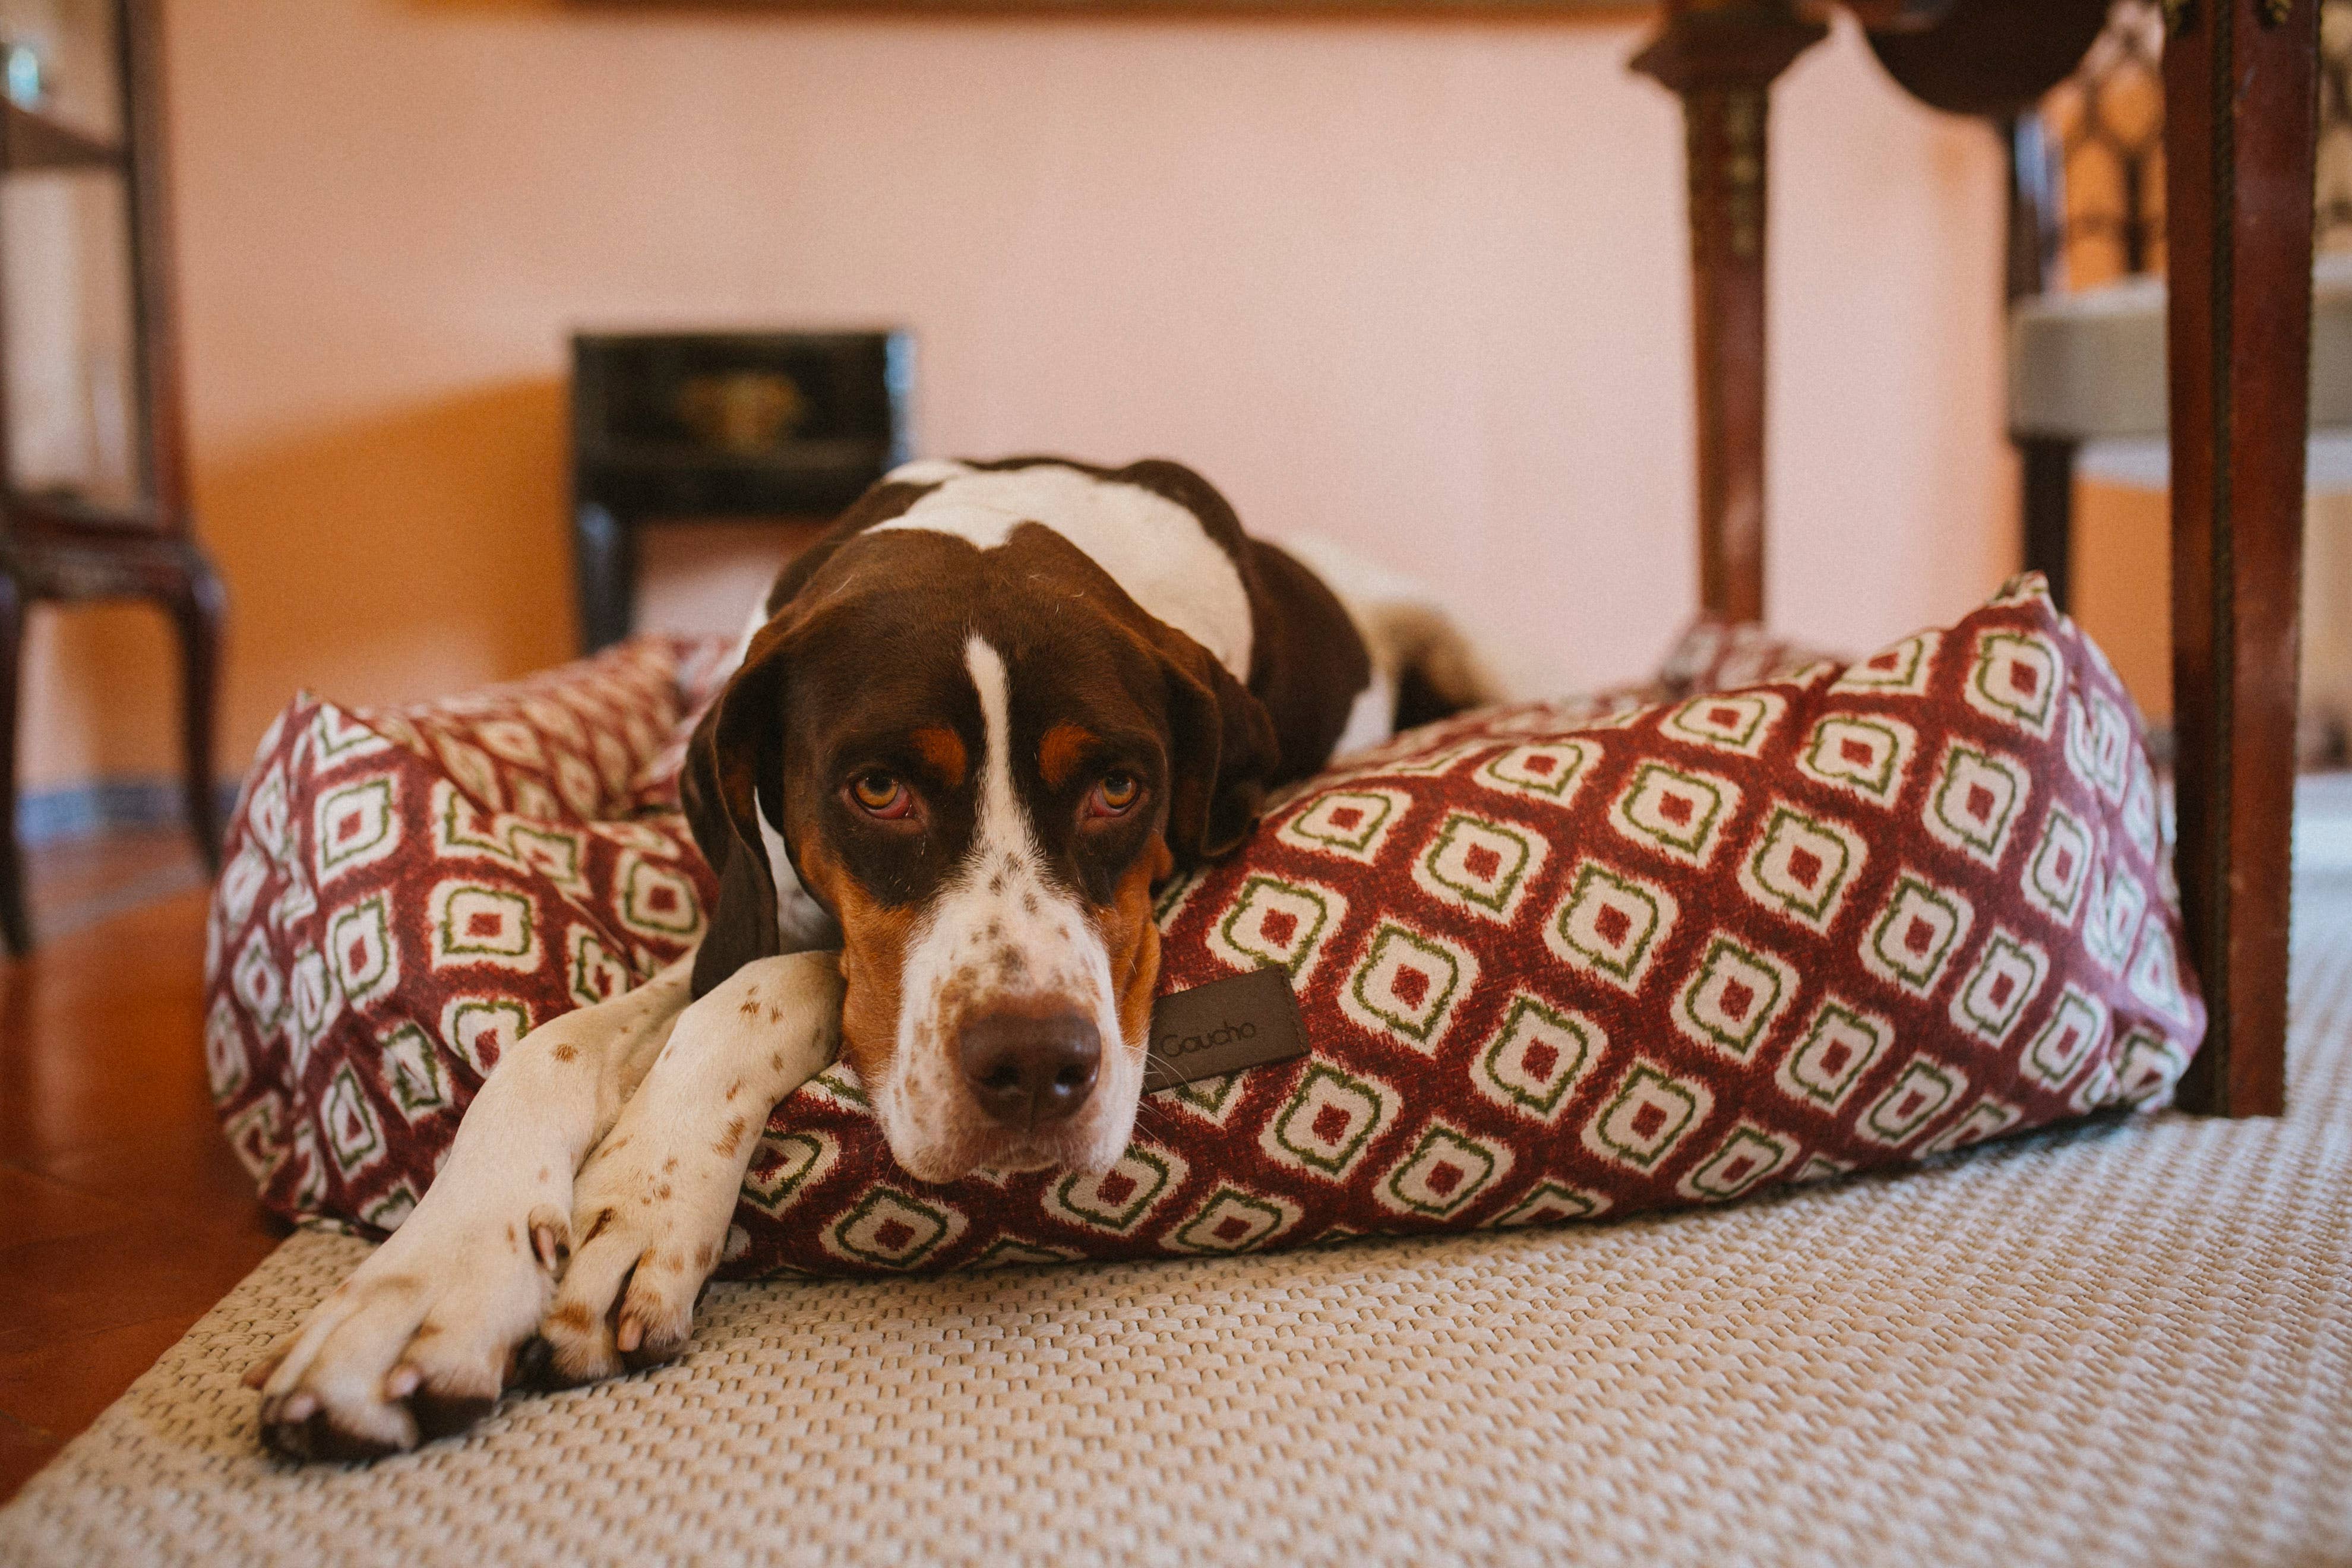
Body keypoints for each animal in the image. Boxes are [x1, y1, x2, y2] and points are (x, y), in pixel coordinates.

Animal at [246, 456, 1494, 1459]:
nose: (1035, 1072)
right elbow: (554, 1047)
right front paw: (433, 1281)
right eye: (879, 788)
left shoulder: (820, 956)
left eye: (1117, 787)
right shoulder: (759, 904)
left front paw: (646, 1202)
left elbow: (767, 991)